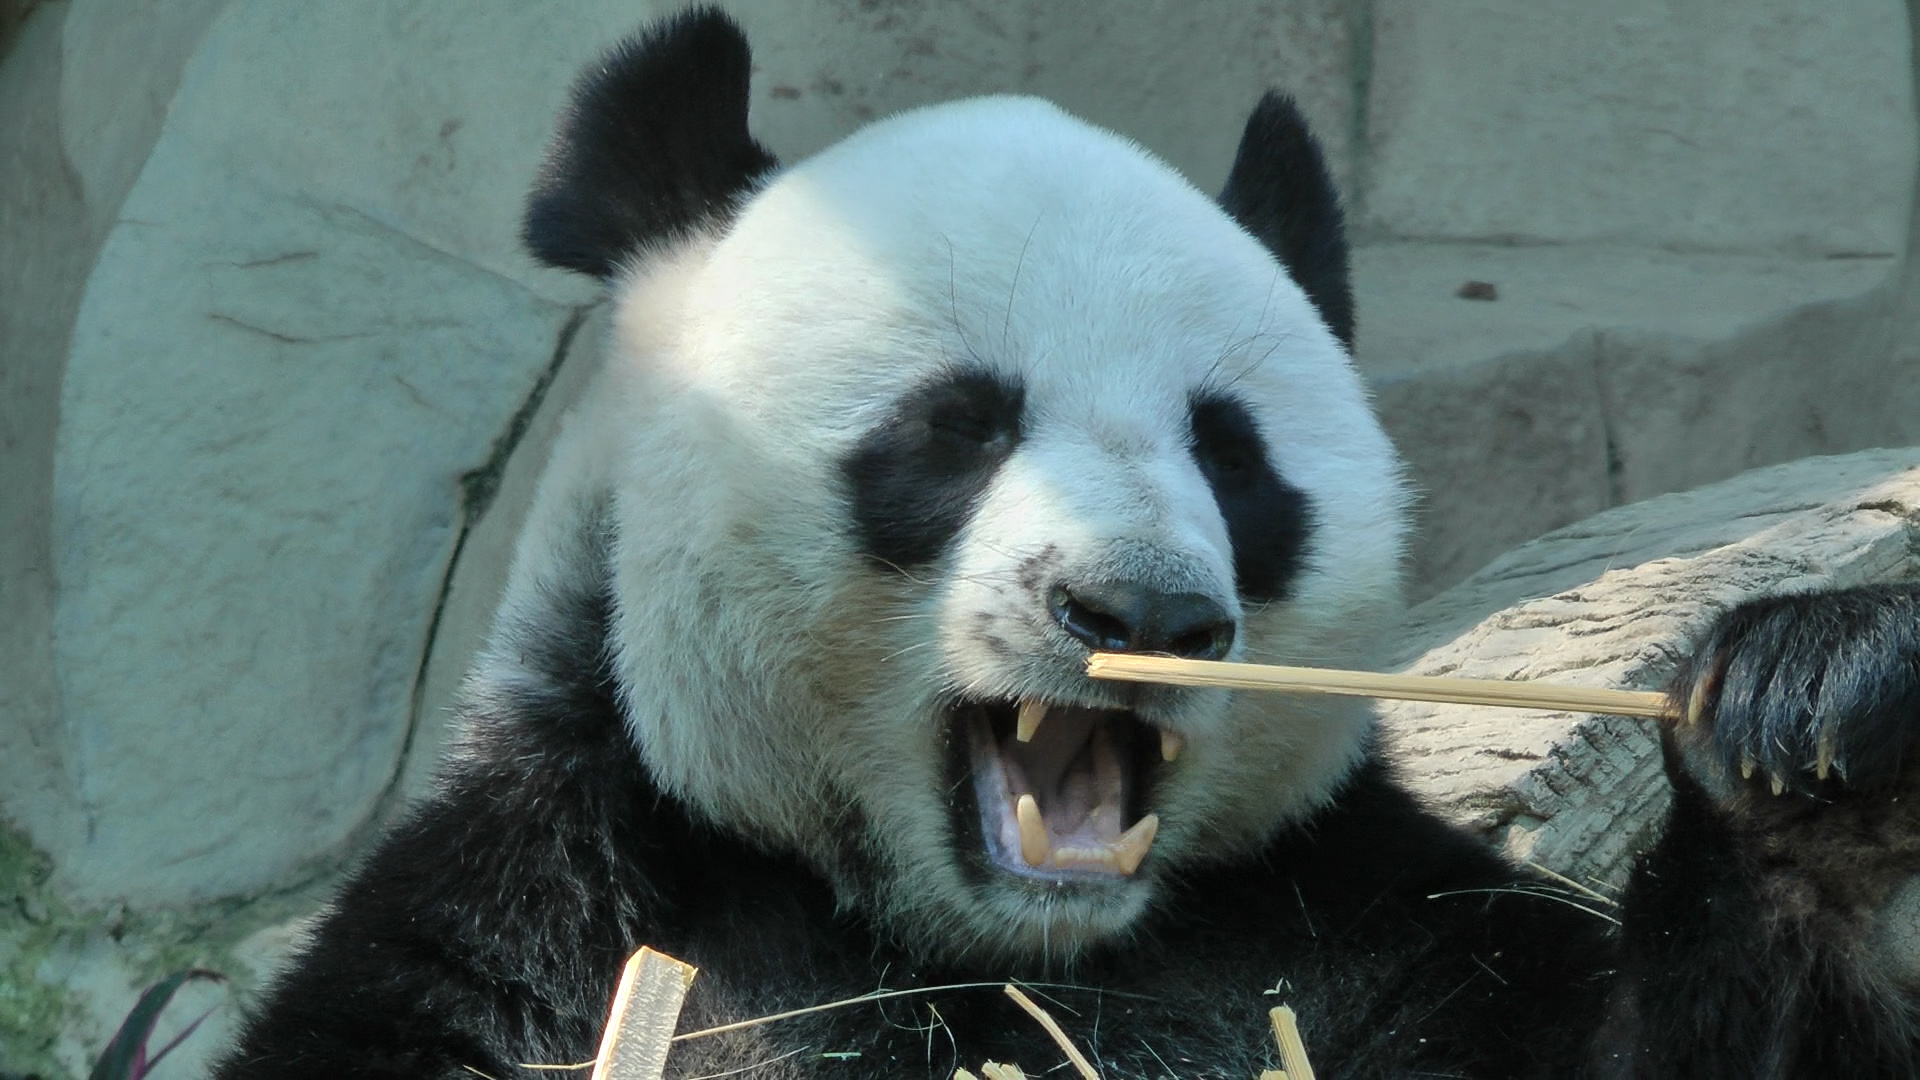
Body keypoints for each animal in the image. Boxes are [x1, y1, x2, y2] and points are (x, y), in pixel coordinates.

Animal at [213, 9, 1920, 1078]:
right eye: (961, 428)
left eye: (1230, 455)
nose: (1144, 610)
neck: (1002, 954)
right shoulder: (557, 915)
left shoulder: (1346, 935)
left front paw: (1807, 718)